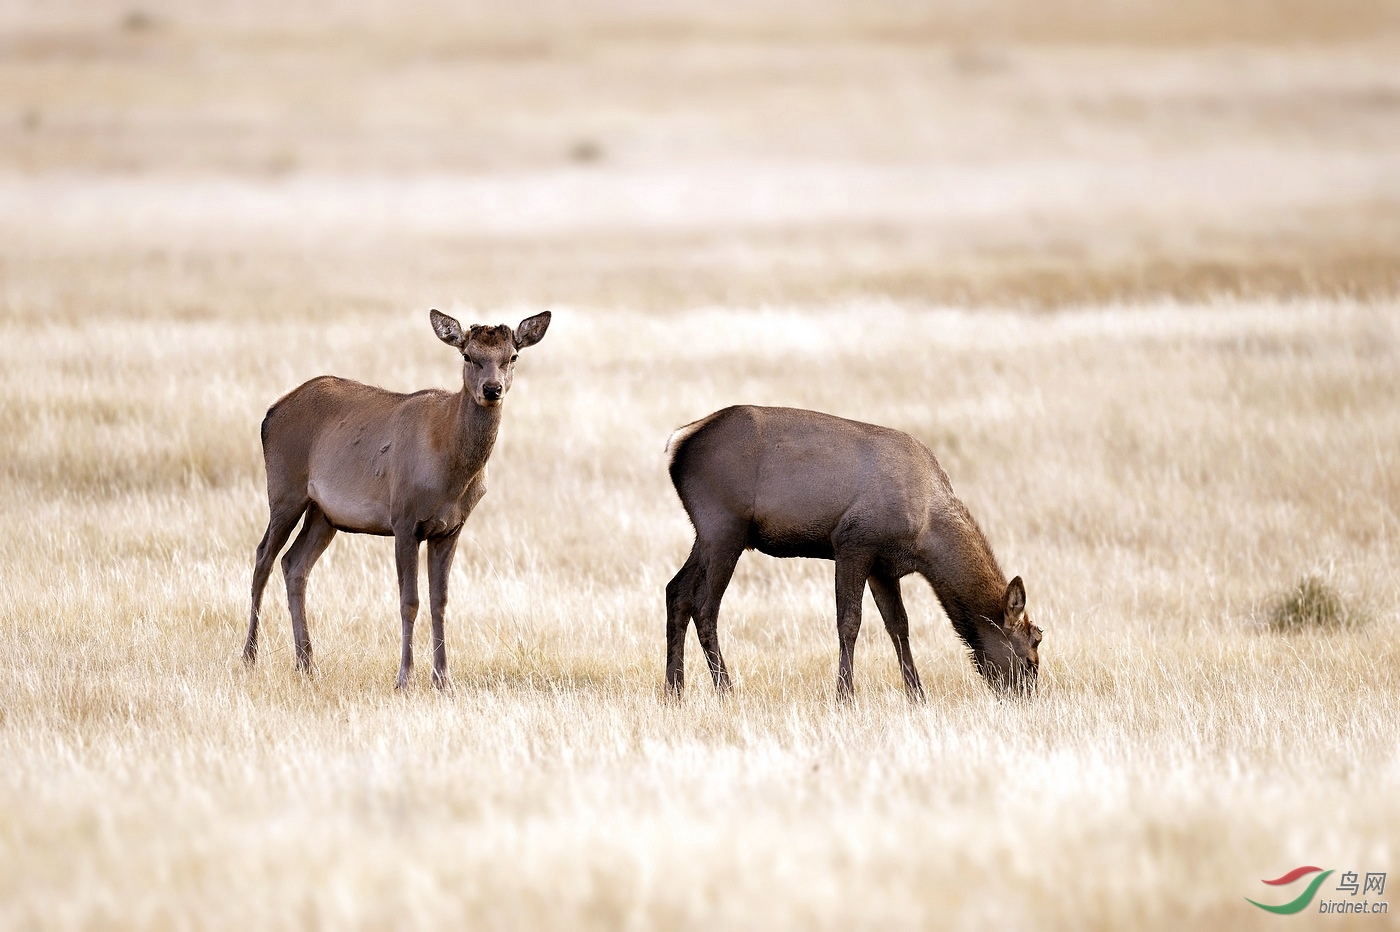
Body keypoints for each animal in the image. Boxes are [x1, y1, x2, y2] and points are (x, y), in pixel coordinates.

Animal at [240, 307, 546, 685]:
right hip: (284, 491)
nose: (492, 389)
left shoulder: (452, 528)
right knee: (263, 557)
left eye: (512, 356)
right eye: (468, 355)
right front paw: (405, 677)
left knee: (294, 564)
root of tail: (269, 414)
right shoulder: (403, 519)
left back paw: (307, 663)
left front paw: (443, 679)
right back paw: (249, 657)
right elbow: (409, 601)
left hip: (324, 514)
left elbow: (440, 601)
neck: (451, 473)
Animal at [663, 403, 1041, 694]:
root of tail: (678, 444)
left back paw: (674, 691)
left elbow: (899, 625)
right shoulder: (853, 542)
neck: (926, 535)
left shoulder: (883, 566)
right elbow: (849, 621)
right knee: (704, 605)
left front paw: (917, 695)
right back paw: (725, 690)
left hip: (706, 532)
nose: (1025, 700)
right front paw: (845, 695)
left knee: (676, 591)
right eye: (1028, 660)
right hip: (724, 527)